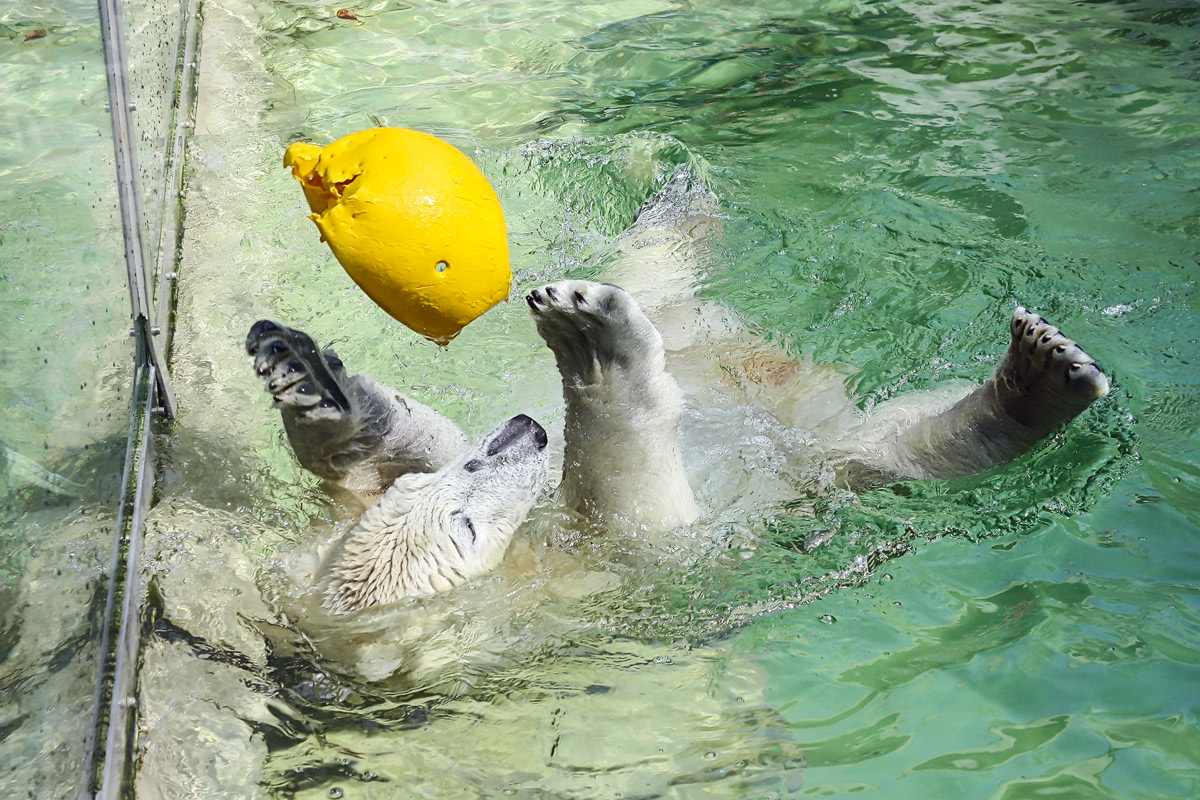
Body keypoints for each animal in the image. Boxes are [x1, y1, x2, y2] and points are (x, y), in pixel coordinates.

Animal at [246, 171, 1109, 615]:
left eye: (449, 489)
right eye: (461, 526)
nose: (523, 433)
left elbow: (395, 449)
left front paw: (309, 377)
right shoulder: (608, 579)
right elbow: (637, 511)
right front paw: (593, 350)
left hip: (711, 332)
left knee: (663, 268)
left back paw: (675, 200)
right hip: (818, 459)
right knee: (891, 452)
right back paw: (1041, 380)